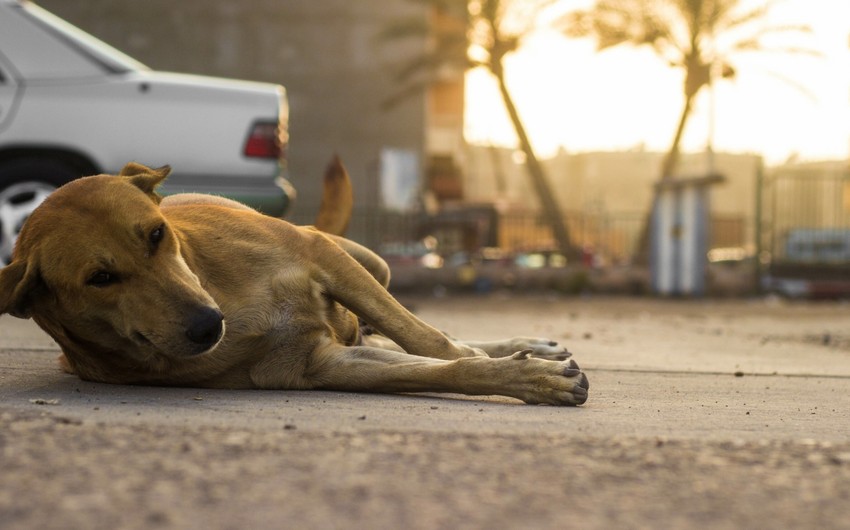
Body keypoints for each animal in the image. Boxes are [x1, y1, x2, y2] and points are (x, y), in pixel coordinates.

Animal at [0, 161, 588, 404]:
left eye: (156, 235)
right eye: (100, 278)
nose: (207, 326)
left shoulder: (320, 255)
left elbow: (431, 341)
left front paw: (520, 366)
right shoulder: (320, 365)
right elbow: (441, 368)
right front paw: (528, 378)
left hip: (369, 262)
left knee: (407, 324)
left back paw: (525, 344)